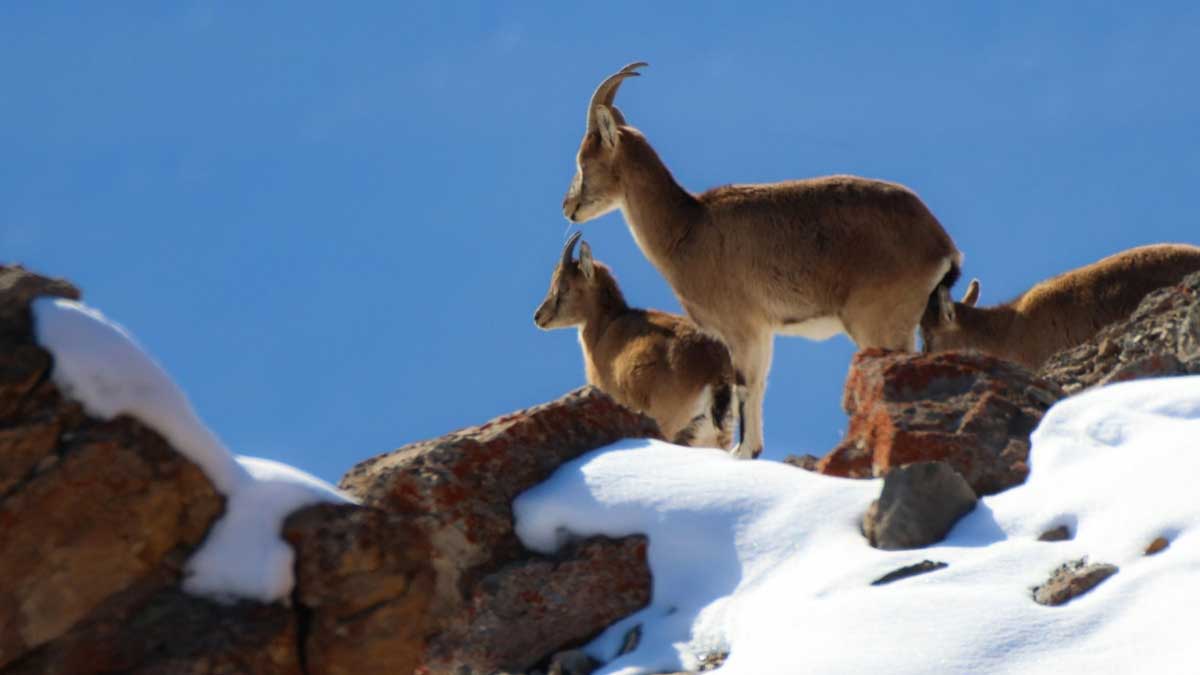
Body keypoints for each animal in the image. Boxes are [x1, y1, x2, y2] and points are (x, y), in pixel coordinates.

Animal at [561, 62, 961, 458]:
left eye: (584, 159)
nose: (569, 207)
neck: (688, 227)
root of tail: (941, 243)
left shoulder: (743, 330)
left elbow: (745, 390)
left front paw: (743, 454)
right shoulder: (763, 333)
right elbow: (757, 389)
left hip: (878, 325)